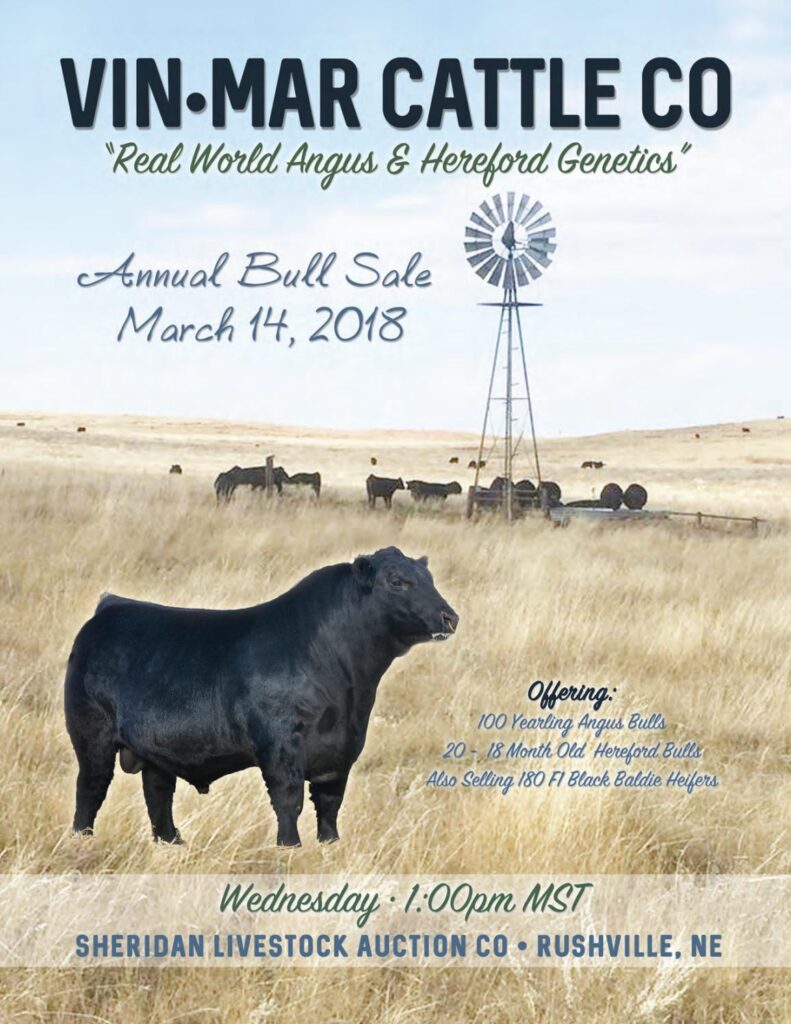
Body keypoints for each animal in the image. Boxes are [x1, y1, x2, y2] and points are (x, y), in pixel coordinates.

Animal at [63, 547, 459, 848]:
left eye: (430, 579)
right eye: (397, 581)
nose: (449, 617)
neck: (350, 688)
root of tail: (112, 606)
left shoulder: (342, 750)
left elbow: (330, 803)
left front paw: (330, 844)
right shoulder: (281, 744)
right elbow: (289, 798)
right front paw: (290, 846)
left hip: (155, 749)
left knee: (158, 792)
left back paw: (173, 841)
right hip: (92, 734)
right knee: (91, 787)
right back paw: (82, 838)